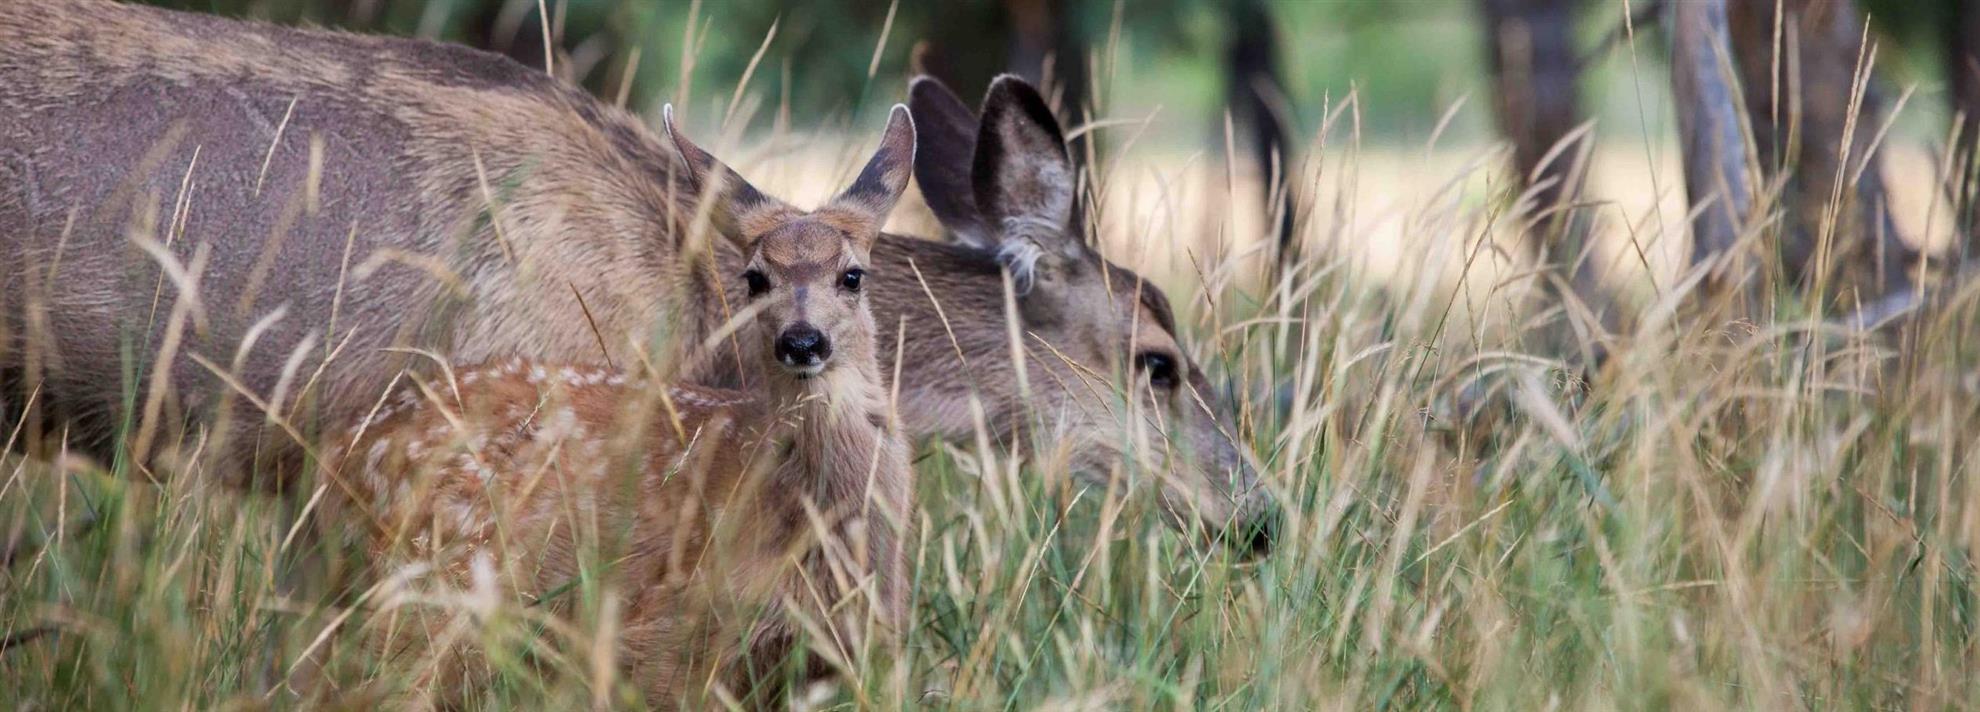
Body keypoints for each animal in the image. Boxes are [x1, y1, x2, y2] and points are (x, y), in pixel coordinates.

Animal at [321, 107, 917, 707]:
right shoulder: (667, 633)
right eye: (754, 278)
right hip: (432, 580)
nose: (801, 341)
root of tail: (340, 454)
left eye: (852, 276)